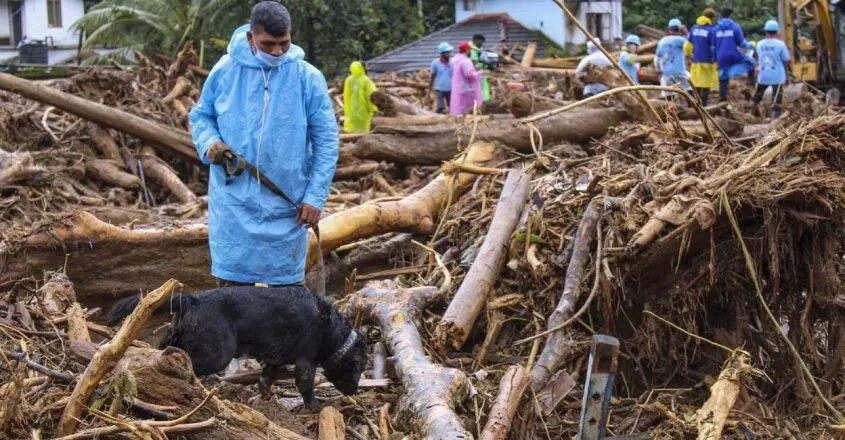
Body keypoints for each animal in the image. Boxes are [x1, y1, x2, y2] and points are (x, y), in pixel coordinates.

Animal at [108, 286, 366, 406]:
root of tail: (191, 299)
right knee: (189, 363)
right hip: (218, 353)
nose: (354, 390)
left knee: (166, 348)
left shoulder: (274, 359)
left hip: (178, 335)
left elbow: (265, 377)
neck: (331, 330)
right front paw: (314, 407)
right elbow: (305, 386)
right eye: (359, 367)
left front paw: (264, 396)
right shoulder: (306, 362)